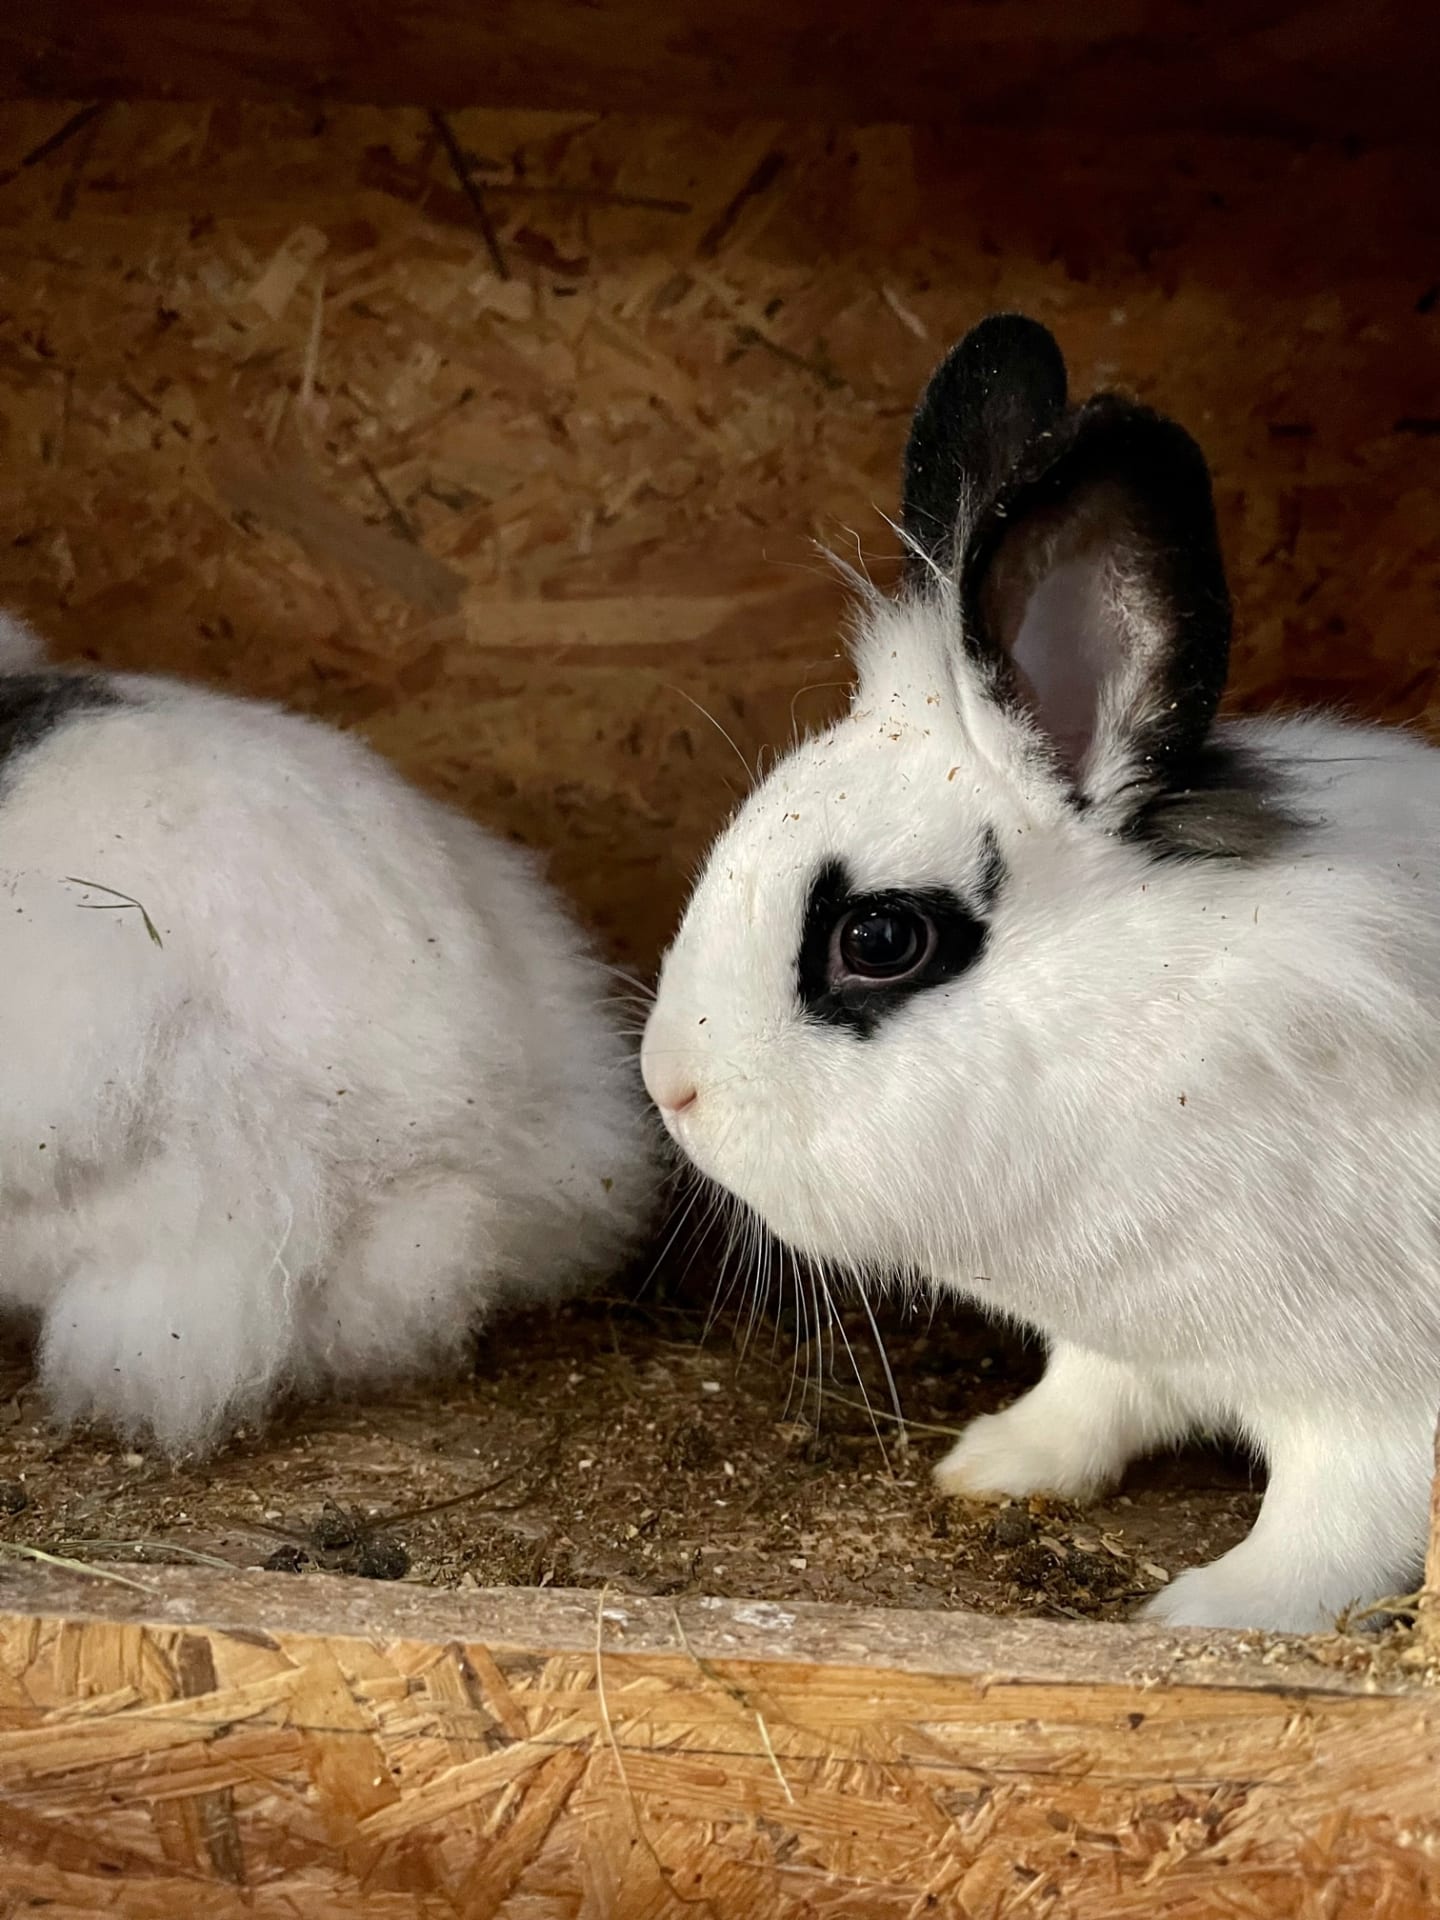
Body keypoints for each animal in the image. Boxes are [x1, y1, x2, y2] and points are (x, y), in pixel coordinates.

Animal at [640, 312, 1440, 1635]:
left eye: (878, 940)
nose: (672, 1088)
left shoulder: (1374, 1400)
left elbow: (1337, 1523)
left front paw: (1215, 1613)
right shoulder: (1128, 1343)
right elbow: (1090, 1398)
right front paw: (996, 1463)